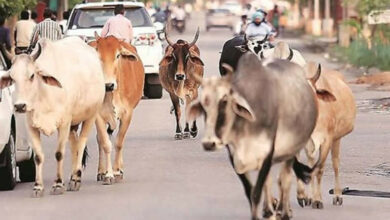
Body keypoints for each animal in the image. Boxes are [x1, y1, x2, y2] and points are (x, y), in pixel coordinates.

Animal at [0, 36, 105, 198]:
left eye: (32, 75)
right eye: (12, 77)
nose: (20, 106)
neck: (44, 94)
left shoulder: (64, 123)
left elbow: (59, 154)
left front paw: (58, 185)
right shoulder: (31, 126)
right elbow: (38, 156)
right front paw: (38, 187)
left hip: (91, 115)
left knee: (81, 144)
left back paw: (75, 179)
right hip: (73, 125)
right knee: (74, 146)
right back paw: (73, 178)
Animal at [89, 32, 145, 183]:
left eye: (118, 55)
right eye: (98, 55)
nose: (108, 85)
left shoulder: (127, 114)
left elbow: (119, 142)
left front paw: (116, 171)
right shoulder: (98, 116)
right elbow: (105, 143)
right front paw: (108, 174)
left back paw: (119, 168)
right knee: (100, 139)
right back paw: (101, 171)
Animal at [187, 54, 322, 219]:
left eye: (224, 101)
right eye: (203, 106)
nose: (209, 143)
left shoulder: (267, 154)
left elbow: (257, 192)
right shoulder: (235, 156)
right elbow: (250, 191)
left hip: (291, 150)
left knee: (285, 180)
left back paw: (284, 212)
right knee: (270, 182)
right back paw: (269, 210)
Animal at [296, 62, 356, 209]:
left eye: (312, 94)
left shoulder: (327, 140)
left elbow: (320, 169)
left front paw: (318, 200)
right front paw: (303, 197)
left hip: (337, 138)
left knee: (335, 164)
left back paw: (337, 196)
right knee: (311, 164)